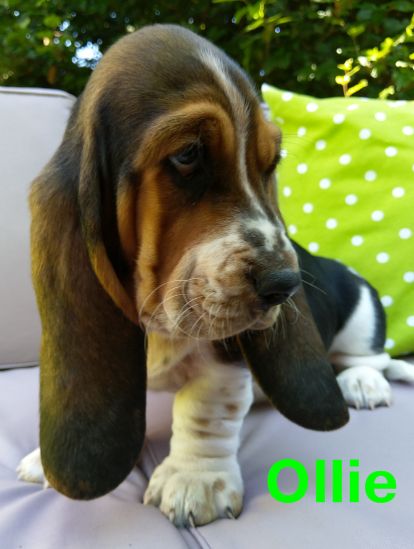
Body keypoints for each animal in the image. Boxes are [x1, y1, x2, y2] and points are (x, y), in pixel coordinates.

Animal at [17, 24, 414, 527]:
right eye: (188, 154)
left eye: (271, 163)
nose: (285, 286)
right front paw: (43, 461)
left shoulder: (226, 355)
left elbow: (204, 407)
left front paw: (195, 481)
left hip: (362, 309)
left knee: (370, 356)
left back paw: (362, 383)